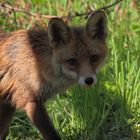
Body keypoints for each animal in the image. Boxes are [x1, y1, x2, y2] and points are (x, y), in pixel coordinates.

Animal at [0, 11, 107, 140]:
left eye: (94, 58)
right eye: (72, 61)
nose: (89, 80)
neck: (39, 63)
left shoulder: (8, 103)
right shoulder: (31, 102)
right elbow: (52, 135)